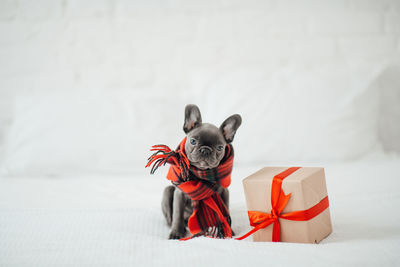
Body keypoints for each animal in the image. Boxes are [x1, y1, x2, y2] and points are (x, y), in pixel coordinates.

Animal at [161, 104, 242, 241]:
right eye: (193, 141)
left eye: (220, 147)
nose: (205, 150)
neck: (201, 174)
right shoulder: (179, 194)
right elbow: (177, 214)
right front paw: (176, 232)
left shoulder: (224, 192)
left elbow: (225, 212)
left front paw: (228, 230)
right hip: (167, 191)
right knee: (170, 217)